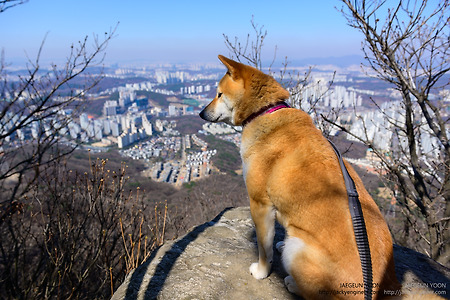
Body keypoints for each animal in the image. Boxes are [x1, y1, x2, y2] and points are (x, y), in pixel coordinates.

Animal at [199, 55, 400, 298]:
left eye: (219, 94)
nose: (200, 113)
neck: (265, 111)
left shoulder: (260, 204)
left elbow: (263, 248)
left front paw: (261, 271)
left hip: (298, 250)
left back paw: (292, 283)